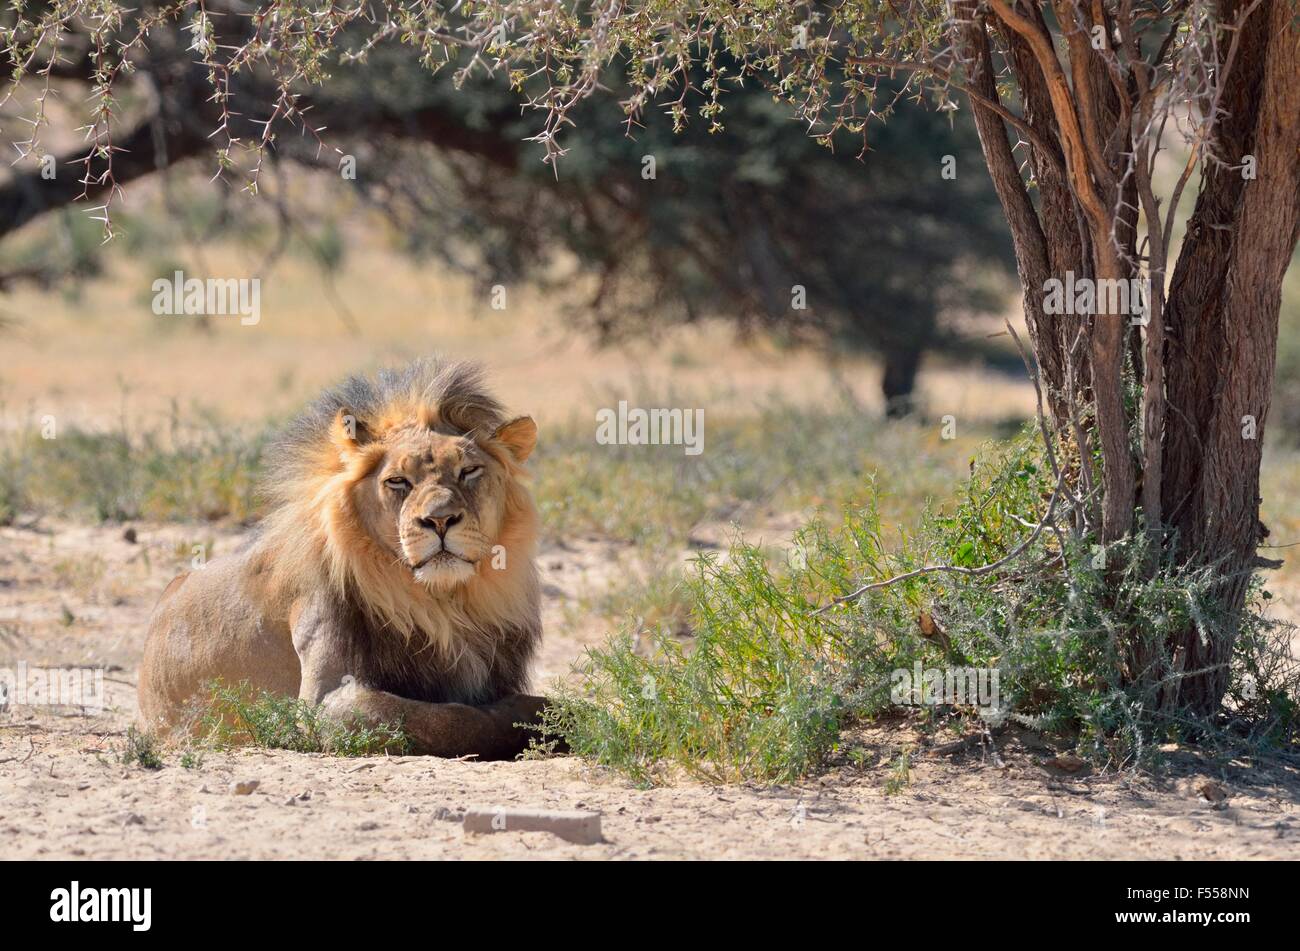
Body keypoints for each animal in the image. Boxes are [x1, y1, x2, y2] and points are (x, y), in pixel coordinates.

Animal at [135, 355, 548, 758]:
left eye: (469, 471)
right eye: (398, 481)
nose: (440, 519)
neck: (444, 604)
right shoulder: (322, 703)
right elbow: (452, 718)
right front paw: (537, 713)